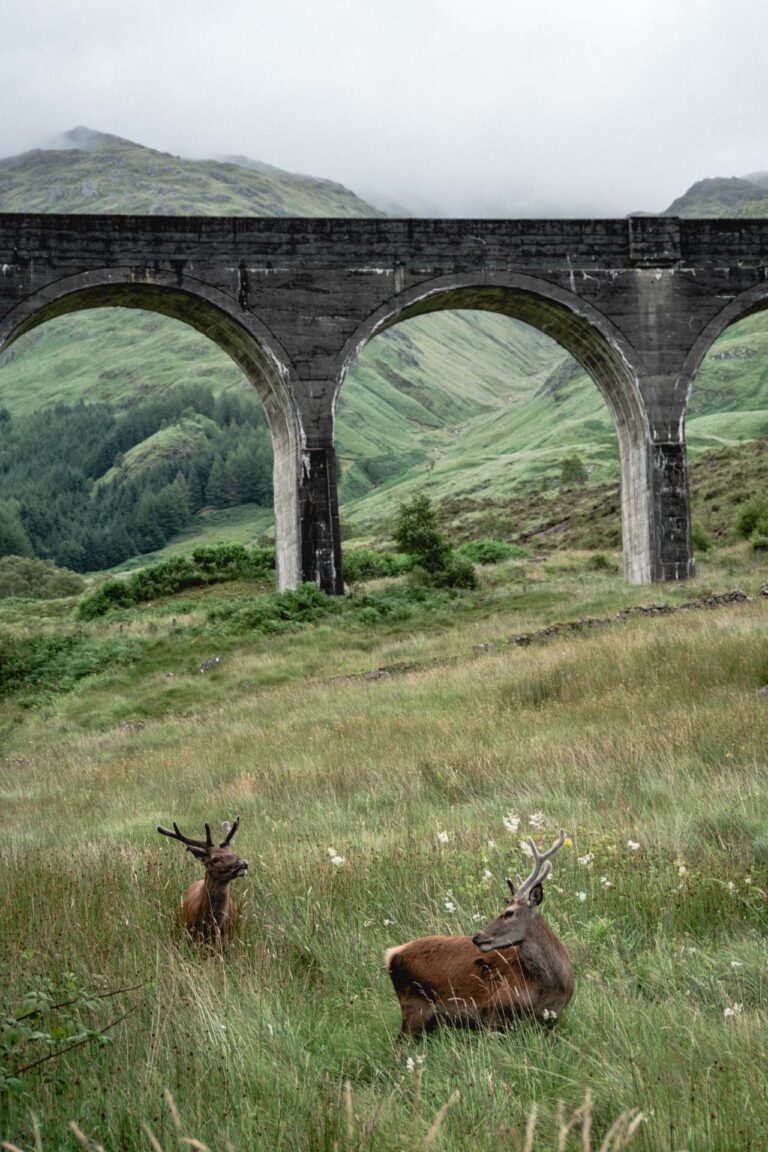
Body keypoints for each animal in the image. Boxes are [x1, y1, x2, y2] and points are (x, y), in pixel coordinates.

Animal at [385, 830, 574, 1037]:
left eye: (509, 913)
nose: (478, 937)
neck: (550, 986)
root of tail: (392, 954)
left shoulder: (552, 1019)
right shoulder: (492, 1011)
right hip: (414, 1005)